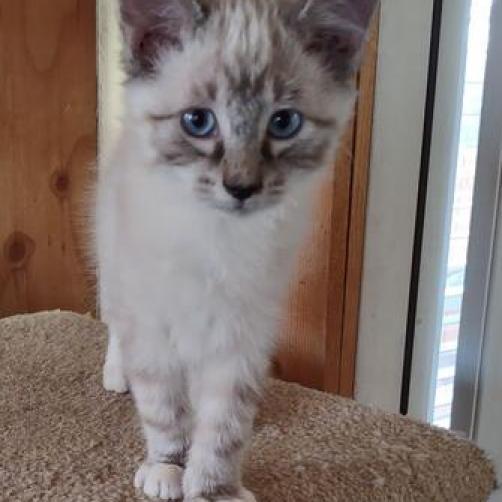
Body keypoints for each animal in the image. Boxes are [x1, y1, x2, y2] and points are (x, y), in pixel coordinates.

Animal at [94, 1, 376, 500]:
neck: (217, 237)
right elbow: (163, 408)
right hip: (116, 279)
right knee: (116, 332)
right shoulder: (152, 320)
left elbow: (224, 426)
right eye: (197, 122)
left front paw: (212, 488)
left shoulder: (240, 332)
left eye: (284, 123)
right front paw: (168, 469)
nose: (241, 187)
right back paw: (117, 377)